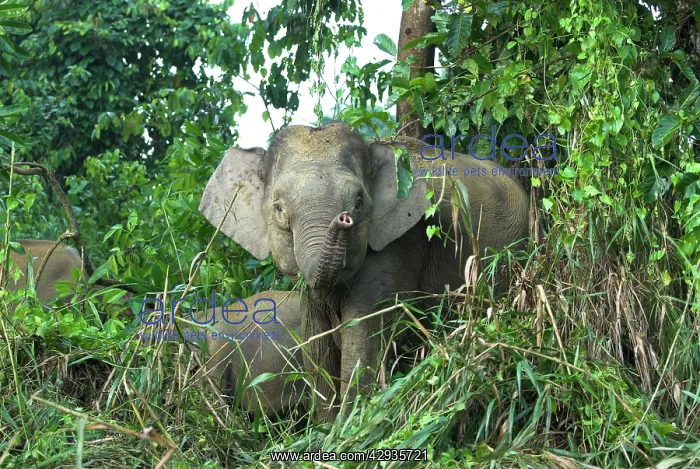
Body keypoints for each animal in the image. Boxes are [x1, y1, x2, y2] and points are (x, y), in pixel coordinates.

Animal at [199, 123, 530, 421]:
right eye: (278, 209)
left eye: (359, 204)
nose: (343, 219)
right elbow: (315, 338)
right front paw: (325, 430)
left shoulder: (401, 241)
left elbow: (364, 332)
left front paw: (347, 429)